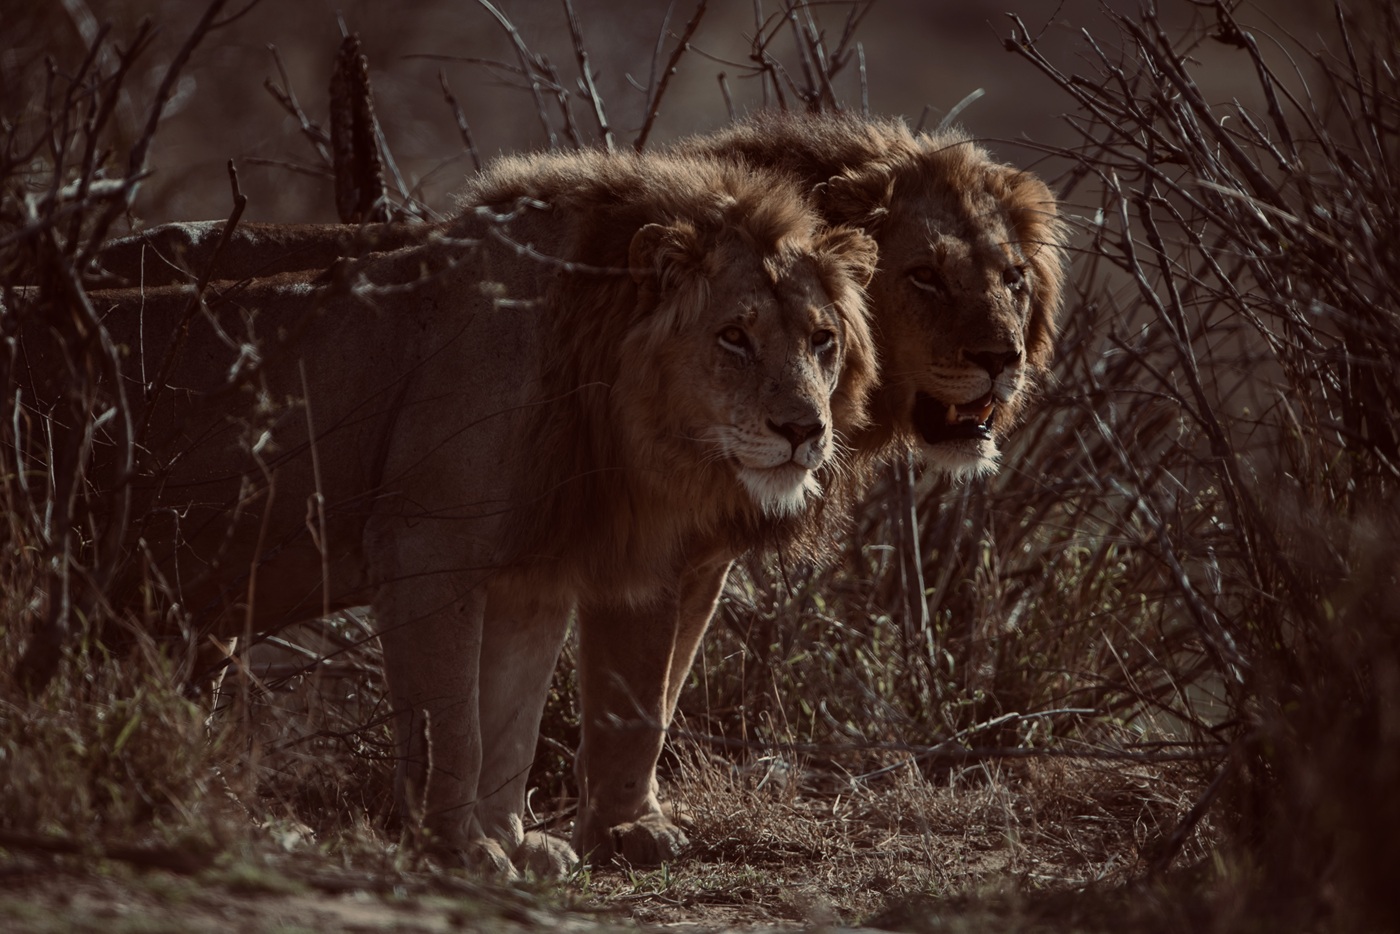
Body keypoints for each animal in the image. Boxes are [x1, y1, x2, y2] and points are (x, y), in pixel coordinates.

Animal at [18, 149, 878, 873]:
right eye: (733, 336)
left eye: (822, 339)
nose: (804, 430)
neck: (597, 379)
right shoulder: (425, 548)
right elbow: (454, 725)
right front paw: (461, 849)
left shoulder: (530, 578)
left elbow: (510, 720)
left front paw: (513, 839)